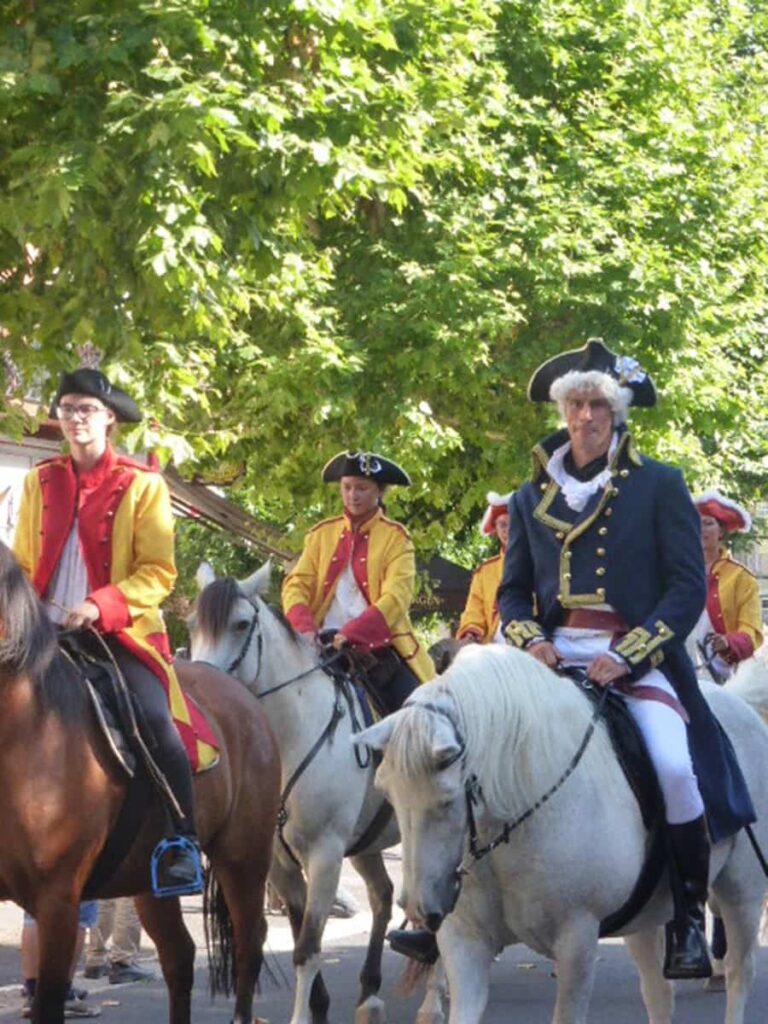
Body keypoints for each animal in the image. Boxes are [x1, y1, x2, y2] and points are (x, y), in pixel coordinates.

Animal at [0, 541, 281, 1024]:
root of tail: (245, 699)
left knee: (249, 946)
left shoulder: (58, 902)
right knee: (180, 956)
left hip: (244, 857)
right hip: (149, 880)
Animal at [188, 560, 443, 1024]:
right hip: (366, 844)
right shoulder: (278, 862)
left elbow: (307, 947)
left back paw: (433, 1000)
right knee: (383, 896)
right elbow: (300, 932)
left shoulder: (325, 853)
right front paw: (320, 1007)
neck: (291, 736)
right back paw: (370, 993)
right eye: (192, 624)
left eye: (240, 624)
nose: (202, 687)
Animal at [355, 643, 768, 1024]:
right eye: (385, 791)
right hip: (645, 915)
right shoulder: (465, 943)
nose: (420, 910)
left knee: (739, 972)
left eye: (445, 798)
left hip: (742, 890)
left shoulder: (577, 941)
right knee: (657, 992)